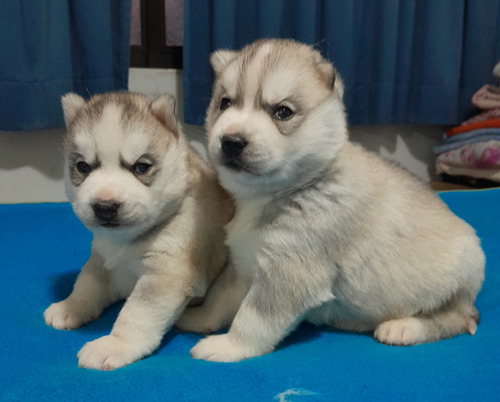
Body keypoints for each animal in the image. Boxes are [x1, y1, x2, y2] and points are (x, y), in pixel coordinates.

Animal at [44, 92, 231, 370]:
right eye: (83, 167)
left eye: (141, 167)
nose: (105, 207)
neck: (125, 243)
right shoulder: (102, 259)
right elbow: (86, 283)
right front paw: (71, 307)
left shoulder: (165, 275)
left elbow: (136, 314)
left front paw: (116, 344)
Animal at [179, 39, 484, 362]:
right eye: (225, 104)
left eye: (283, 112)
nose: (231, 141)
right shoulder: (242, 266)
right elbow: (218, 299)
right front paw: (196, 318)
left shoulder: (290, 272)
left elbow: (252, 319)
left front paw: (228, 346)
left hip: (458, 278)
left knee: (457, 318)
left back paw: (404, 327)